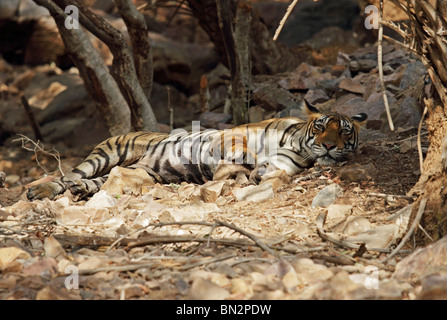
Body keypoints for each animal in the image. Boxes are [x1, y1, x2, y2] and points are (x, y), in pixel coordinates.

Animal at [26, 100, 368, 200]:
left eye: (344, 131)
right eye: (321, 127)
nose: (329, 146)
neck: (295, 141)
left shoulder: (284, 164)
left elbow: (268, 170)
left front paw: (250, 175)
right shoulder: (237, 133)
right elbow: (240, 148)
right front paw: (239, 166)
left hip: (140, 173)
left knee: (91, 182)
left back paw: (79, 191)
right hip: (107, 154)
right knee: (70, 175)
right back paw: (40, 191)